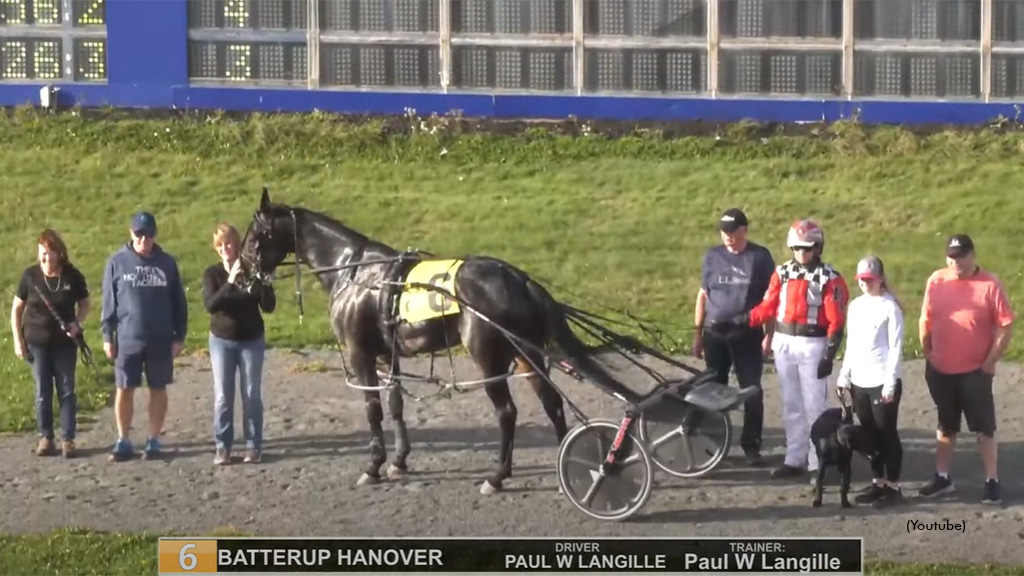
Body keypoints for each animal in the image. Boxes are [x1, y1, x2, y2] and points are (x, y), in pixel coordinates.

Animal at [241, 188, 638, 494]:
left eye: (253, 237)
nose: (243, 275)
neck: (356, 272)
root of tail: (519, 278)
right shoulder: (387, 356)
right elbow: (396, 405)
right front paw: (399, 461)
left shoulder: (360, 353)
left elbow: (373, 410)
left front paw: (374, 466)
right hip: (526, 354)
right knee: (552, 403)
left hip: (489, 355)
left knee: (507, 412)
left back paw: (497, 476)